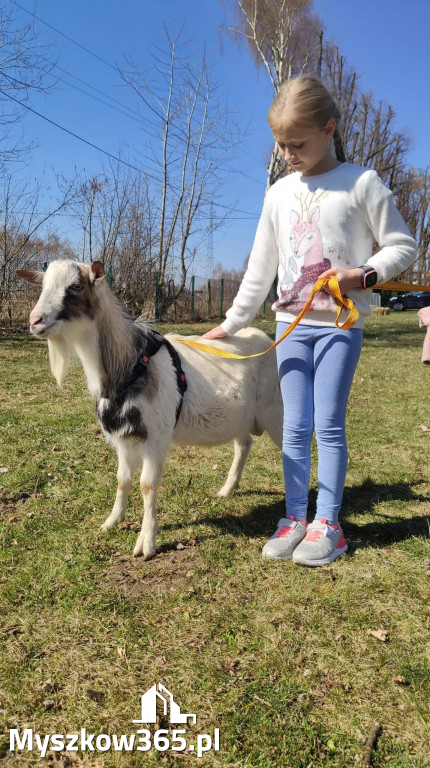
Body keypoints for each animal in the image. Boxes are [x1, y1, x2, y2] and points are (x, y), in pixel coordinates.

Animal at [18, 260, 284, 560]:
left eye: (75, 286)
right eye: (42, 286)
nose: (35, 321)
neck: (130, 364)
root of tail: (266, 339)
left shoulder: (156, 434)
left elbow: (147, 484)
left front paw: (146, 542)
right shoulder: (123, 436)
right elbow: (122, 479)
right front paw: (112, 521)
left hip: (275, 409)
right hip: (241, 416)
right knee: (244, 444)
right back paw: (227, 489)